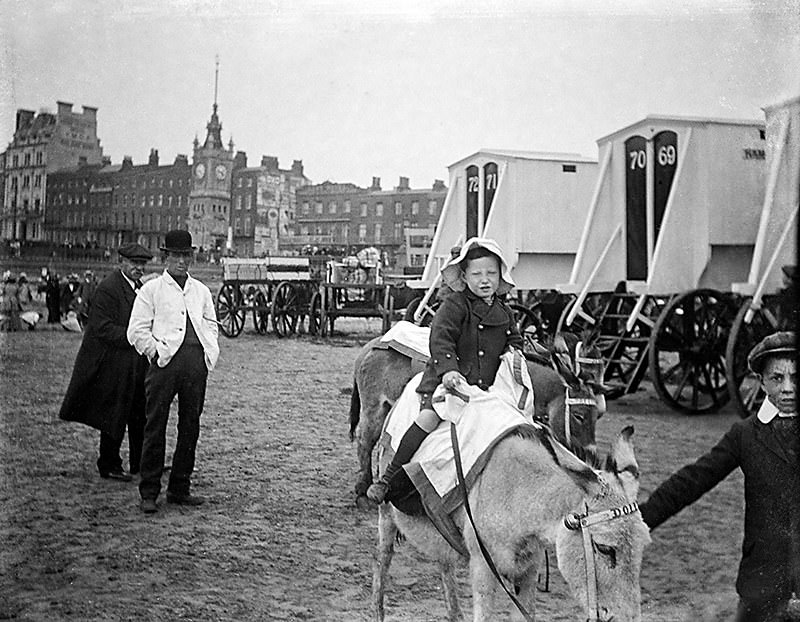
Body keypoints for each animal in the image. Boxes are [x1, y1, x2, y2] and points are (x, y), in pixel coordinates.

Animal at [350, 336, 608, 508]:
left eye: (599, 416)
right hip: (374, 409)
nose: (591, 453)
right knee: (365, 441)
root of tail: (372, 345)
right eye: (579, 416)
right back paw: (364, 490)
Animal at [376, 426, 648, 620]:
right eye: (605, 548)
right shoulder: (483, 567)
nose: (627, 619)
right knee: (383, 562)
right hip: (386, 516)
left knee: (445, 566)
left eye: (643, 548)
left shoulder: (529, 569)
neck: (519, 493)